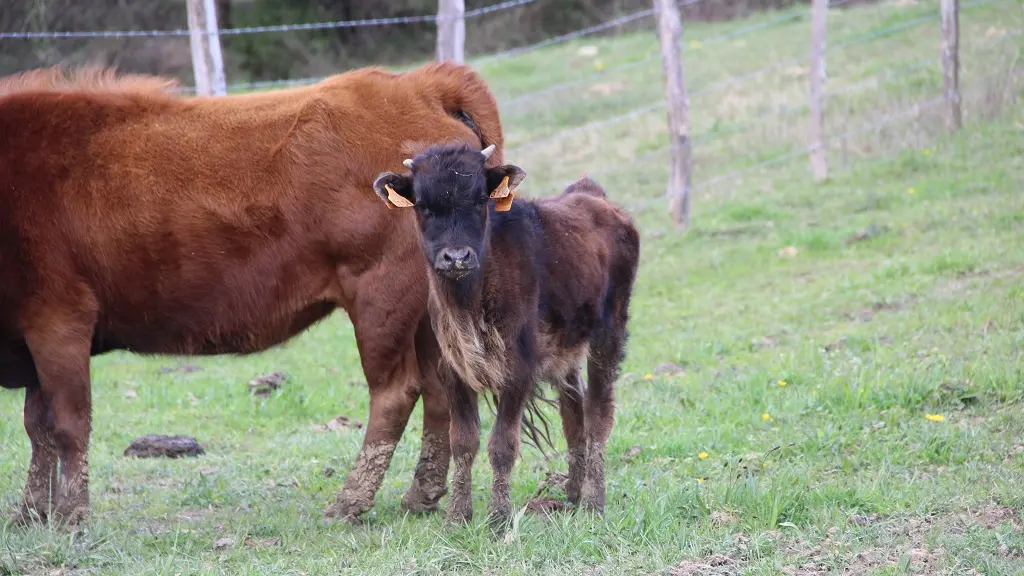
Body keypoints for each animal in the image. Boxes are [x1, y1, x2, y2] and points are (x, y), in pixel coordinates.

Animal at [0, 61, 507, 524]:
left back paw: (350, 501)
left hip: (381, 299)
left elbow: (68, 423)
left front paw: (69, 513)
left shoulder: (59, 321)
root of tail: (414, 83)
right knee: (441, 391)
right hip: (427, 313)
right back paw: (420, 495)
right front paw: (30, 511)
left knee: (396, 392)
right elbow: (37, 425)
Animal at [368, 143, 638, 524]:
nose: (456, 257)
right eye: (422, 205)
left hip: (608, 334)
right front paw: (458, 516)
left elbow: (502, 445)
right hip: (566, 351)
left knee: (599, 412)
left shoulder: (519, 371)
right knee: (574, 412)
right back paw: (572, 492)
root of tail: (592, 196)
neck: (471, 297)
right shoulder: (453, 370)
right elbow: (463, 441)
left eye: (480, 199)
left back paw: (593, 501)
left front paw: (497, 517)